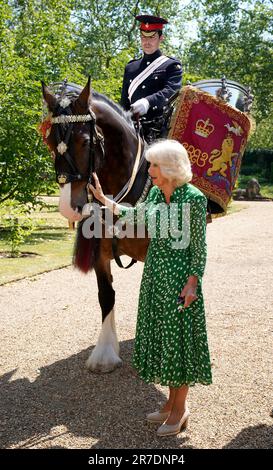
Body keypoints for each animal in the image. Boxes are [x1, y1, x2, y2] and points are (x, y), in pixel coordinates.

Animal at [42, 76, 151, 370]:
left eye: (84, 141)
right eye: (49, 142)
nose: (68, 207)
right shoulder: (100, 252)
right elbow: (106, 295)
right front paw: (105, 352)